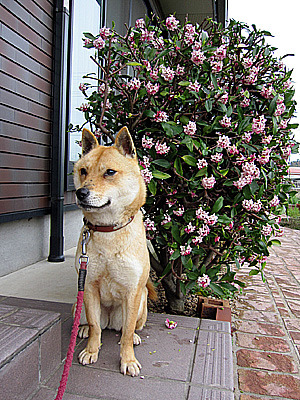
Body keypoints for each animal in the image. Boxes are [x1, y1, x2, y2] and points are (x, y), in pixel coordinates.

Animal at [72, 127, 155, 376]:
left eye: (109, 172)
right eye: (83, 171)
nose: (80, 193)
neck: (108, 230)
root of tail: (110, 319)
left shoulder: (132, 291)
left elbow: (126, 332)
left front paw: (128, 360)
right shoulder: (88, 285)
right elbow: (94, 326)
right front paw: (91, 350)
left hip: (142, 303)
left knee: (130, 327)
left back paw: (135, 336)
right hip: (77, 303)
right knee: (94, 324)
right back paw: (82, 330)